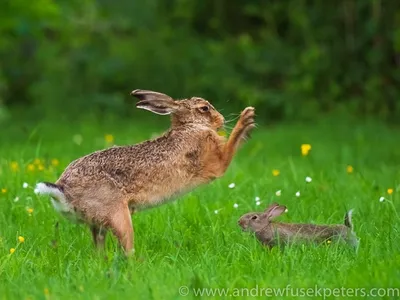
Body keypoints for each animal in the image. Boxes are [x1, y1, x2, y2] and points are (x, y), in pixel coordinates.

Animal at [36, 89, 256, 255]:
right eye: (204, 109)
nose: (220, 120)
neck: (190, 127)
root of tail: (63, 190)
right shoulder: (215, 163)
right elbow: (229, 149)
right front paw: (247, 118)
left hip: (99, 223)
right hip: (119, 216)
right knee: (126, 250)